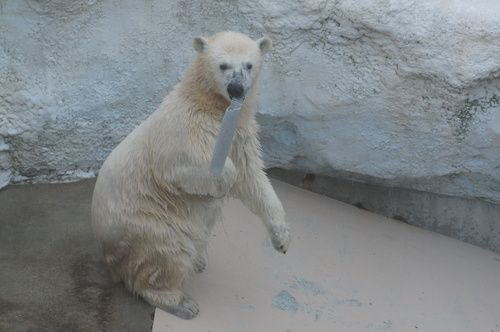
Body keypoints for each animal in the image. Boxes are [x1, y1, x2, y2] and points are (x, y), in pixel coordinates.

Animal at [92, 31, 292, 320]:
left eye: (249, 65)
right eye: (223, 65)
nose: (236, 89)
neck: (208, 102)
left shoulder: (240, 132)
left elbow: (253, 178)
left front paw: (281, 238)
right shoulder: (187, 129)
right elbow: (185, 167)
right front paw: (220, 182)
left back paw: (197, 262)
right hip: (147, 222)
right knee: (165, 251)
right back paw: (180, 301)